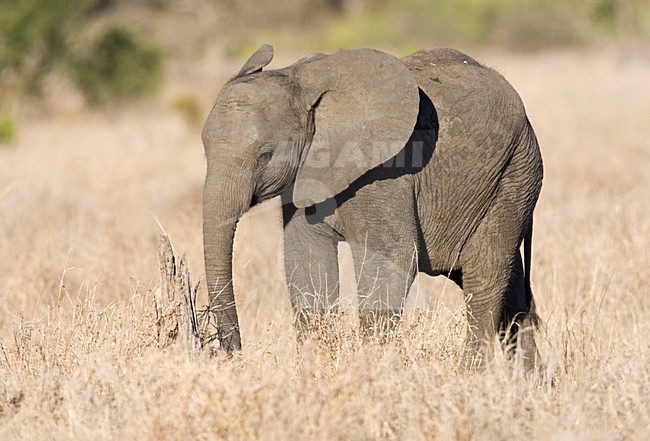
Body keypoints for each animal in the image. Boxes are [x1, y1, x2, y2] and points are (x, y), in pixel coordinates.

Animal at [201, 44, 543, 370]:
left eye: (265, 154)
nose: (232, 354)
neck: (298, 79)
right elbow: (308, 264)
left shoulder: (386, 171)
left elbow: (392, 258)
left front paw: (373, 369)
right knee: (510, 287)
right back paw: (528, 383)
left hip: (514, 175)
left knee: (484, 277)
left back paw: (471, 376)